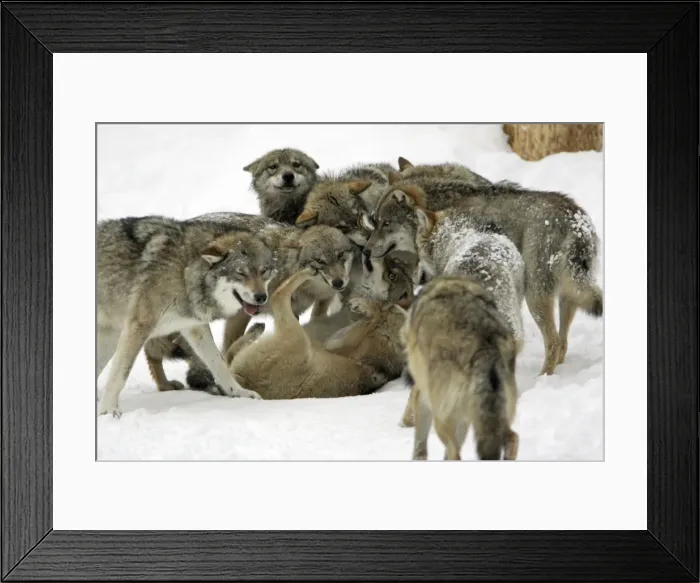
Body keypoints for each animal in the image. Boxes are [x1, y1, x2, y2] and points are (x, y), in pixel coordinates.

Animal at [96, 216, 274, 416]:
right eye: (241, 273)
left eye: (263, 271)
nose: (261, 297)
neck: (184, 271)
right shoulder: (139, 326)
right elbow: (120, 373)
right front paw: (108, 411)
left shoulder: (194, 326)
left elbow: (218, 361)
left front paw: (237, 392)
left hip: (109, 337)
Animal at [364, 182, 602, 375]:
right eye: (375, 223)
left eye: (385, 223)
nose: (365, 250)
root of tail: (577, 220)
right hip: (569, 294)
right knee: (562, 341)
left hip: (535, 297)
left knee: (552, 342)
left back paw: (543, 378)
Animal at [402, 275, 520, 461]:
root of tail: (485, 345)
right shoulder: (465, 418)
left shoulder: (422, 397)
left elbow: (420, 446)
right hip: (495, 416)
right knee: (513, 439)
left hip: (442, 419)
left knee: (454, 453)